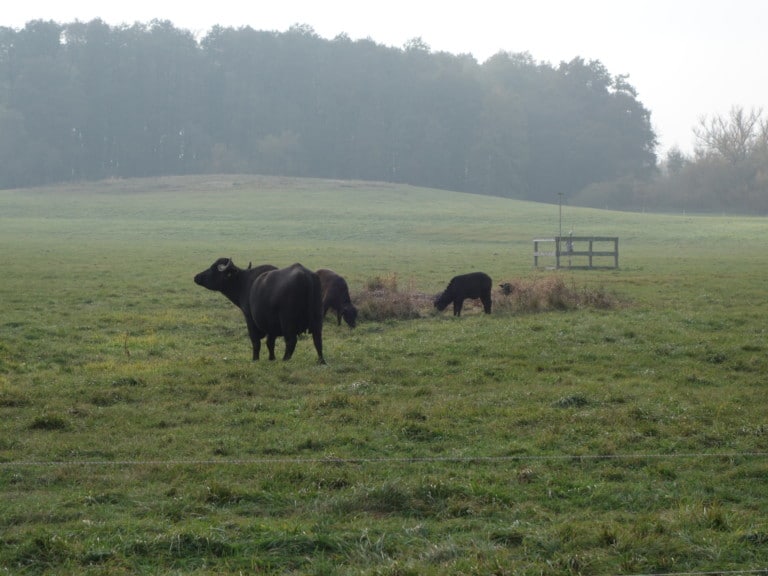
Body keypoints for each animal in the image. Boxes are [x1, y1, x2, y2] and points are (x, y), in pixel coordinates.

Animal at [194, 258, 326, 362]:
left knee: (291, 341)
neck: (243, 282)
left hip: (287, 321)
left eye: (213, 268)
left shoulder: (250, 319)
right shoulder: (271, 325)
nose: (196, 277)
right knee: (318, 340)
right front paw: (271, 358)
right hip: (317, 318)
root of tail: (306, 275)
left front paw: (255, 359)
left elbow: (256, 342)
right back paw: (321, 361)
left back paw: (285, 359)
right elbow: (270, 342)